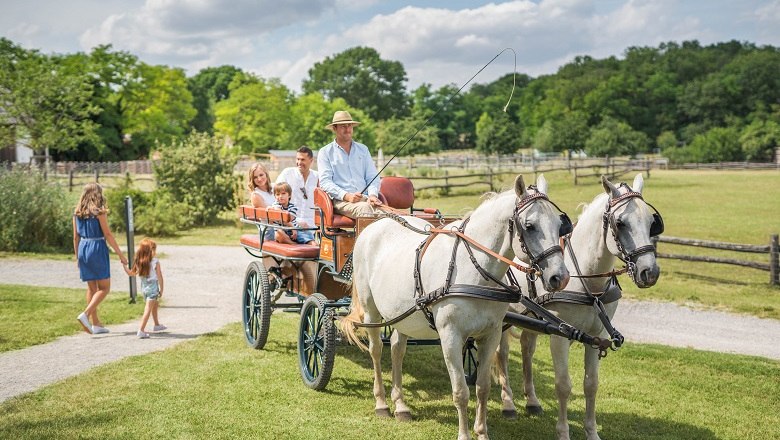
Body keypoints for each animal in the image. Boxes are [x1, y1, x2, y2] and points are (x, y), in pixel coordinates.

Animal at [344, 175, 568, 440]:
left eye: (560, 224)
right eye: (530, 225)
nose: (559, 277)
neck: (474, 269)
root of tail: (375, 225)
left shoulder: (490, 334)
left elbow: (482, 387)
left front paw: (482, 432)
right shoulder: (450, 336)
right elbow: (461, 391)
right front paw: (464, 434)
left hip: (402, 315)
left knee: (397, 349)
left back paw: (400, 404)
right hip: (371, 310)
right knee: (377, 350)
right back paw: (381, 403)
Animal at [496, 174, 660, 440]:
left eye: (651, 222)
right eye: (621, 223)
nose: (650, 272)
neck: (585, 278)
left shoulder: (597, 335)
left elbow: (591, 384)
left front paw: (592, 432)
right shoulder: (560, 336)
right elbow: (563, 385)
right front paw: (563, 432)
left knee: (527, 350)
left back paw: (532, 401)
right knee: (501, 355)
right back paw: (508, 403)